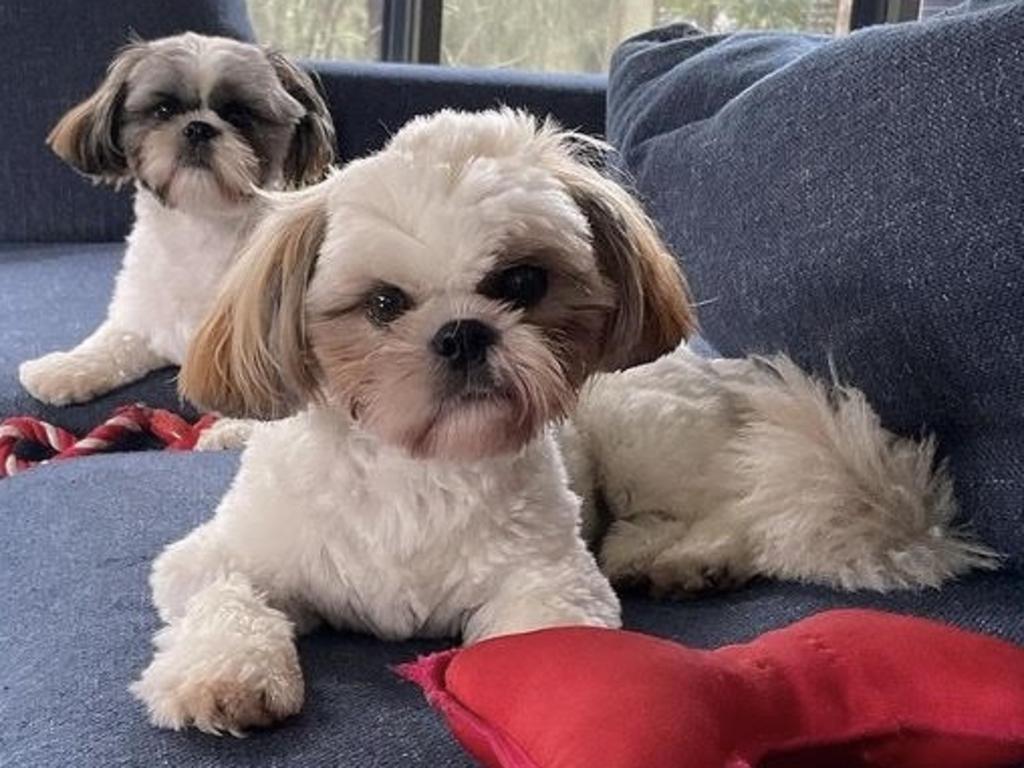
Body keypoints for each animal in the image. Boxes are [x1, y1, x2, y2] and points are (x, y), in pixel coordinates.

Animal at [18, 33, 335, 409]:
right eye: (164, 110)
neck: (199, 227)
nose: (198, 127)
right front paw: (66, 368)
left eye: (239, 115)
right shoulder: (142, 317)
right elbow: (113, 343)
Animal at [125, 107, 688, 733]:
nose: (463, 333)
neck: (414, 465)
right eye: (383, 304)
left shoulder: (551, 578)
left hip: (637, 433)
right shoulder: (220, 556)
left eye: (523, 282)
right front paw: (226, 673)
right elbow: (226, 597)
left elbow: (545, 646)